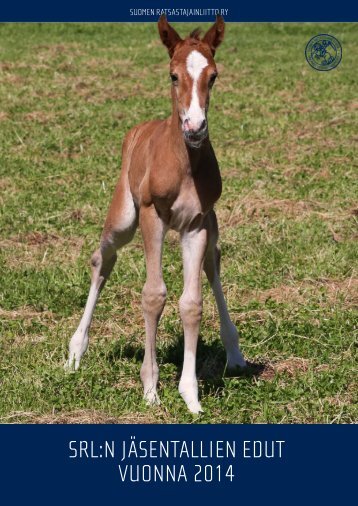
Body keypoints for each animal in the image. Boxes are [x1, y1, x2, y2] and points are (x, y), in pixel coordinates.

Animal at [65, 15, 246, 414]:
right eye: (173, 75)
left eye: (213, 76)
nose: (195, 127)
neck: (184, 162)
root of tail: (139, 128)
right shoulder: (153, 217)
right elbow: (153, 295)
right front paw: (150, 389)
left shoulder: (196, 225)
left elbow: (191, 304)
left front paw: (190, 395)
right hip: (123, 218)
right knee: (102, 258)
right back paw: (75, 351)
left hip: (211, 227)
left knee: (213, 264)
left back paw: (235, 352)